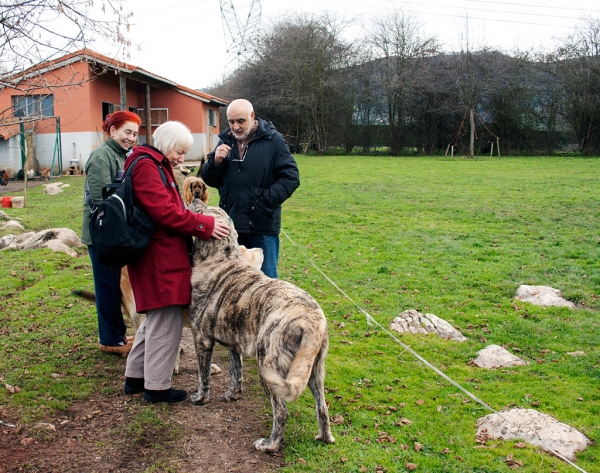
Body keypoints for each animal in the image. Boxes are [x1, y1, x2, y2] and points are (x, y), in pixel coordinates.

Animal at [190, 197, 336, 452]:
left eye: (202, 212)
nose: (197, 196)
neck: (221, 259)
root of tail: (310, 320)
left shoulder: (201, 340)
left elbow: (203, 376)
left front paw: (200, 398)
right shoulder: (234, 345)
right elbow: (235, 371)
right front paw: (232, 395)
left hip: (269, 368)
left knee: (282, 412)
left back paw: (270, 444)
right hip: (314, 371)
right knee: (322, 408)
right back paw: (324, 437)